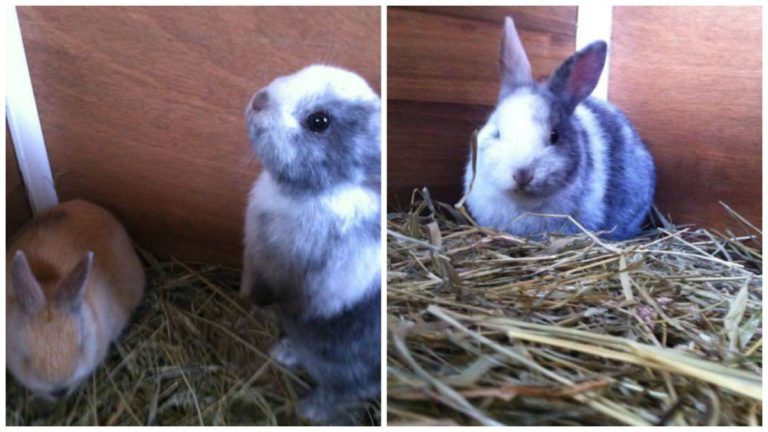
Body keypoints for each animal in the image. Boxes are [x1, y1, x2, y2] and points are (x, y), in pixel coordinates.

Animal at [239, 65, 381, 424]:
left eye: (319, 121)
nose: (259, 100)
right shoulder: (253, 254)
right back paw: (284, 352)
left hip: (345, 369)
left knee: (348, 390)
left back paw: (311, 409)